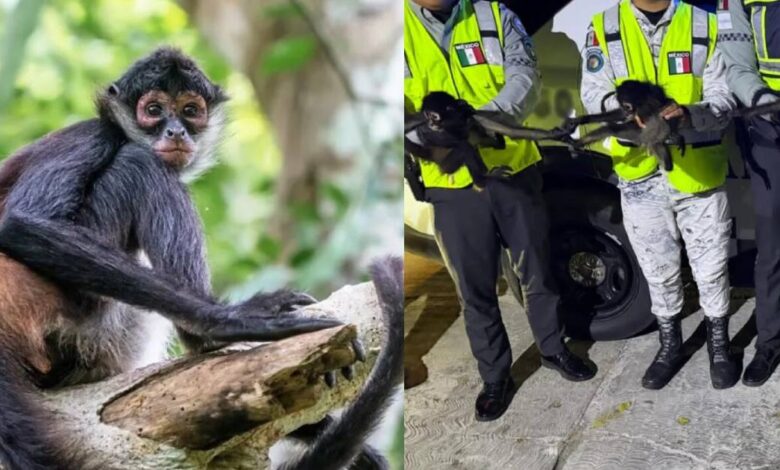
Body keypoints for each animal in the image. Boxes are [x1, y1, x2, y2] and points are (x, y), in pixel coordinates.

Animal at [0, 47, 401, 470]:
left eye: (190, 111)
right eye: (154, 110)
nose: (175, 131)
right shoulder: (90, 135)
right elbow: (22, 224)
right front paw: (228, 321)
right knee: (139, 164)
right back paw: (203, 338)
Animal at [405, 91, 574, 188]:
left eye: (434, 116)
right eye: (427, 116)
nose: (431, 123)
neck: (454, 123)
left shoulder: (472, 116)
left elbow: (511, 130)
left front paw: (556, 134)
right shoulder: (433, 132)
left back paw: (497, 141)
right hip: (447, 165)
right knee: (464, 146)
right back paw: (483, 179)